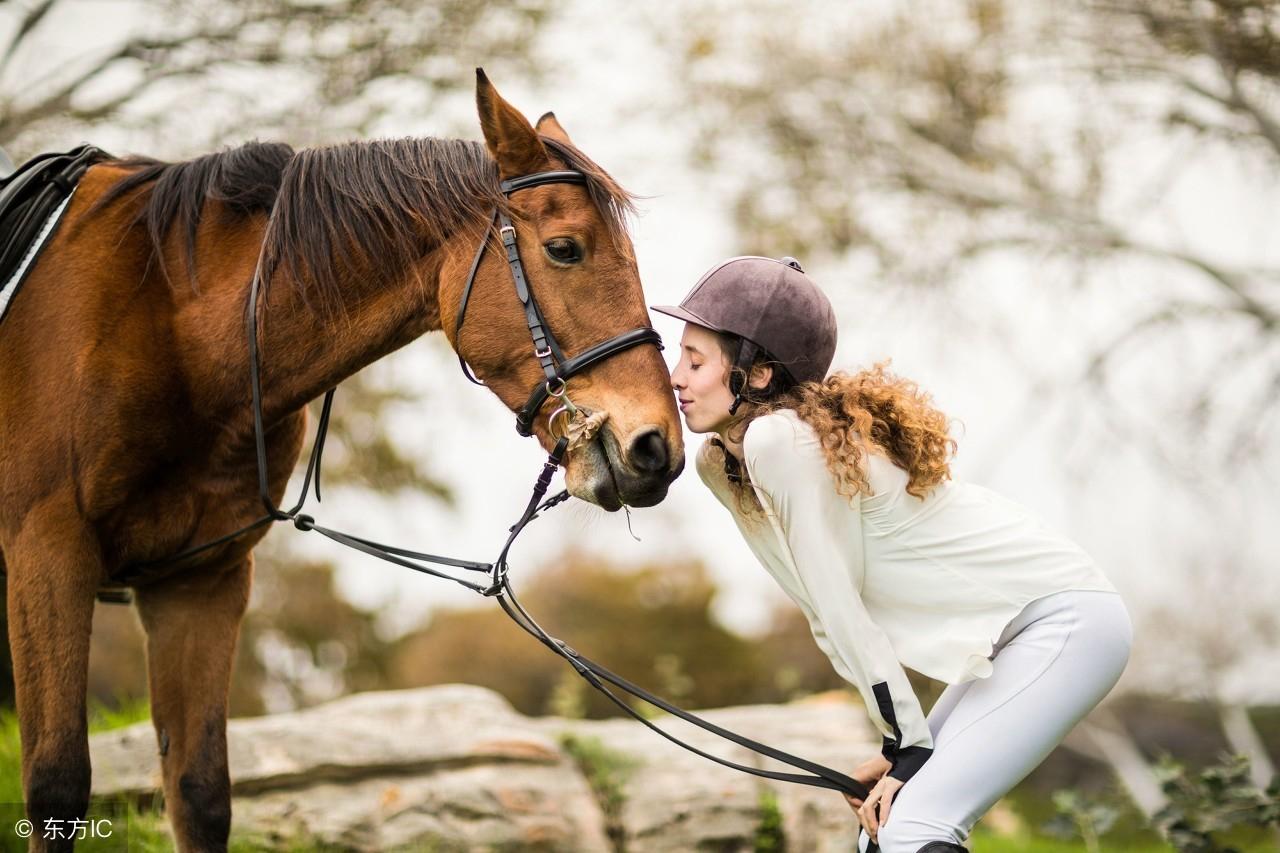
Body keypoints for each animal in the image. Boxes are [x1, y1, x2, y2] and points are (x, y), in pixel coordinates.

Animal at [0, 73, 686, 850]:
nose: (655, 446)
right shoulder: (48, 556)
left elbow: (200, 794)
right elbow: (57, 782)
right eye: (566, 249)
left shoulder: (199, 582)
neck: (168, 322)